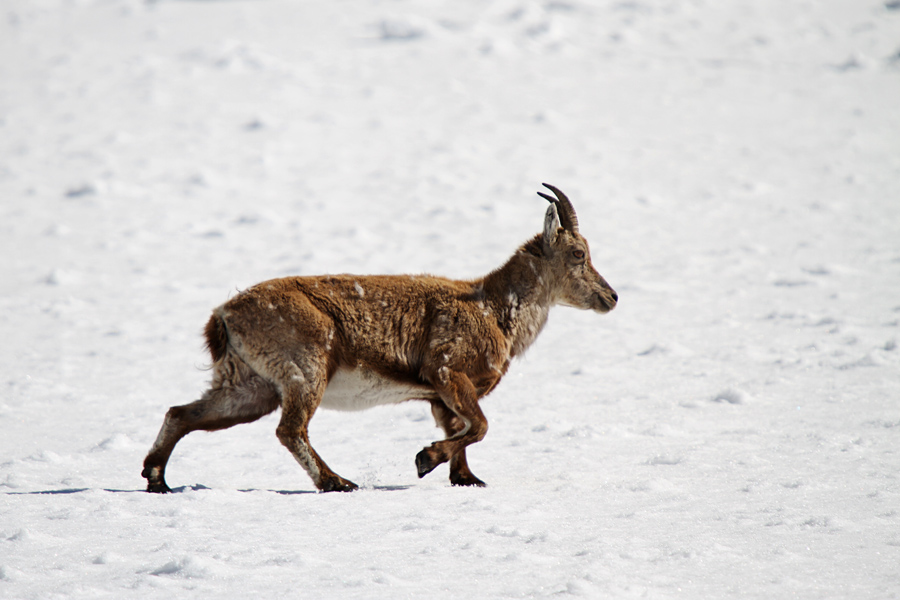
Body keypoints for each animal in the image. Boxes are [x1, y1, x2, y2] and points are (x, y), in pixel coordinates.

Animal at [141, 184, 617, 492]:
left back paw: (157, 479)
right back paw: (336, 482)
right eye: (578, 253)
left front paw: (466, 479)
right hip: (305, 367)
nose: (611, 297)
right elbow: (479, 425)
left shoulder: (438, 396)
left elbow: (463, 428)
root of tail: (222, 316)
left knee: (182, 412)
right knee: (290, 429)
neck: (493, 308)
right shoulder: (446, 370)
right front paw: (425, 459)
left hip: (251, 384)